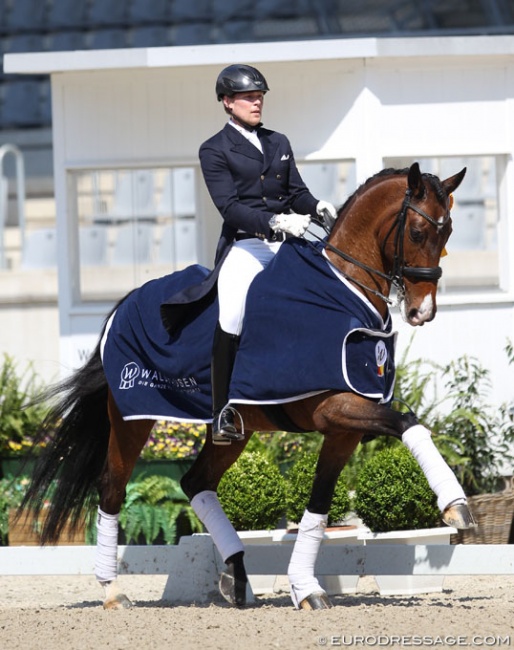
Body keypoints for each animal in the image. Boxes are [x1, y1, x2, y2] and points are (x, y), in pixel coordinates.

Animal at [21, 162, 472, 608]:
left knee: (196, 483)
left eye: (448, 233)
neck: (342, 292)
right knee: (113, 488)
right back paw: (114, 591)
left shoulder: (344, 425)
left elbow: (320, 503)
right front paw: (455, 505)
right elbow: (408, 423)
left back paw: (237, 578)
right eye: (418, 232)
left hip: (233, 432)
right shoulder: (333, 407)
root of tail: (126, 302)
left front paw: (305, 587)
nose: (422, 311)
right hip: (132, 418)